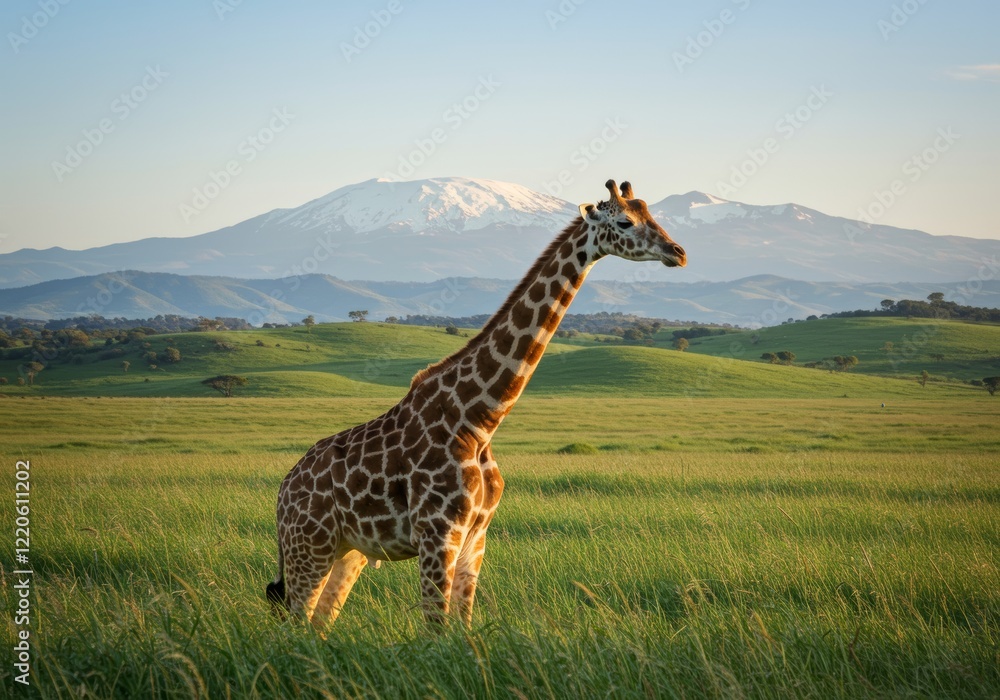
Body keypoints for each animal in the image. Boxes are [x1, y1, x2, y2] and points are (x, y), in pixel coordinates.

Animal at [268, 179, 686, 630]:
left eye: (651, 213)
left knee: (318, 625)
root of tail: (282, 493)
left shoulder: (476, 537)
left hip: (348, 553)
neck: (479, 419)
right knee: (295, 624)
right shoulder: (438, 535)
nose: (678, 252)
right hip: (308, 547)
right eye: (625, 221)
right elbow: (436, 629)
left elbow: (463, 628)